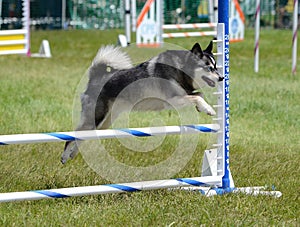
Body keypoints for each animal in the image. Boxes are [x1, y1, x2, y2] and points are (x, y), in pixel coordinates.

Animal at [62, 41, 223, 163]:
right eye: (209, 68)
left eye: (216, 67)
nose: (222, 78)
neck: (181, 69)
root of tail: (96, 77)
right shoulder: (172, 100)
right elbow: (197, 96)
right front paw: (209, 109)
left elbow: (199, 94)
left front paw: (202, 108)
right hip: (96, 117)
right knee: (73, 135)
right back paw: (65, 156)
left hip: (104, 122)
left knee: (83, 136)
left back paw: (73, 154)